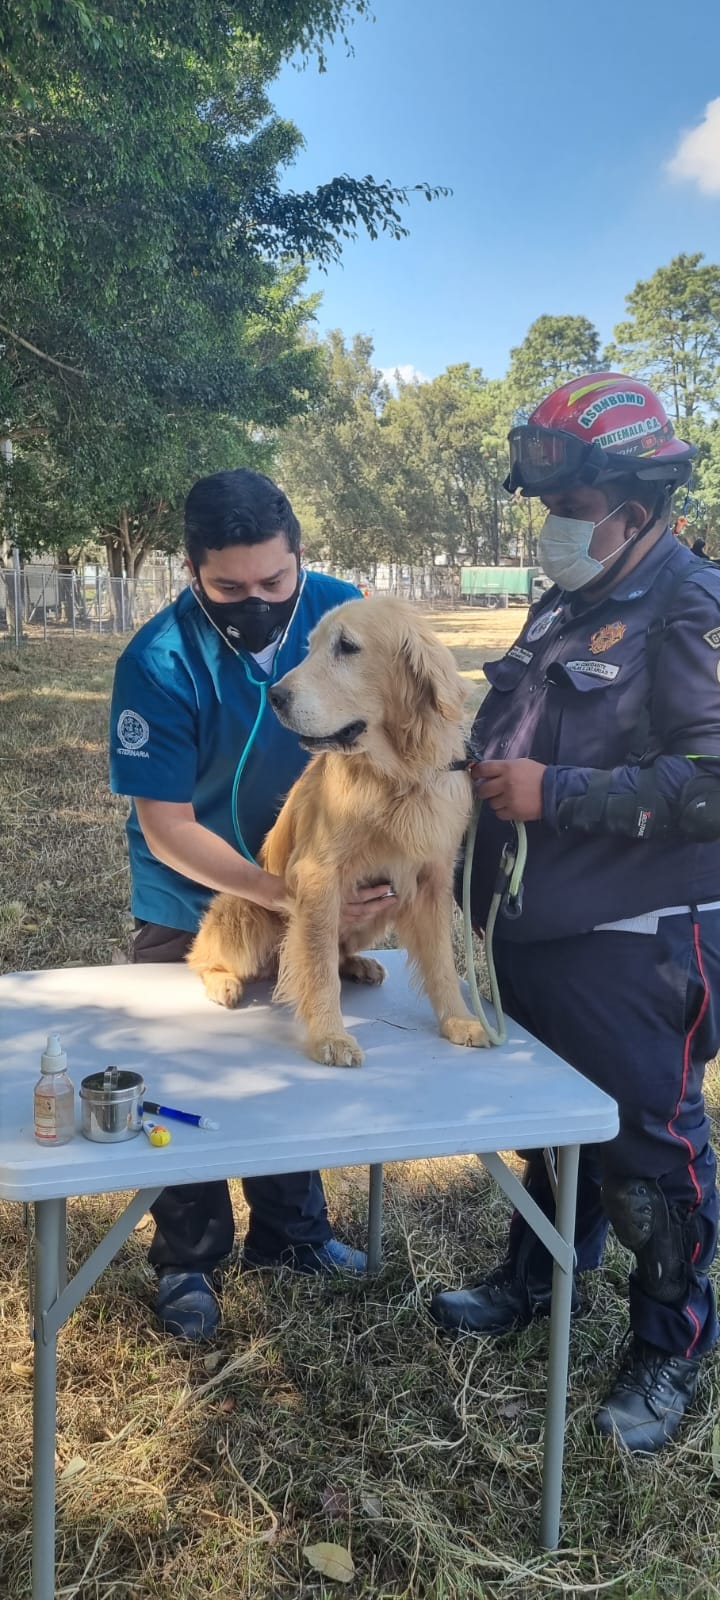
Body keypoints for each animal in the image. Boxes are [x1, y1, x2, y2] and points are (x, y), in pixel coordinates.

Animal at [188, 595, 486, 1068]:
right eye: (309, 647)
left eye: (346, 646)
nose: (275, 696)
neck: (395, 777)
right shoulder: (319, 878)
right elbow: (319, 965)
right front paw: (330, 1035)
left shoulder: (432, 882)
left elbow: (440, 962)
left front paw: (457, 1020)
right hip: (245, 910)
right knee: (200, 956)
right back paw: (222, 981)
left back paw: (359, 964)